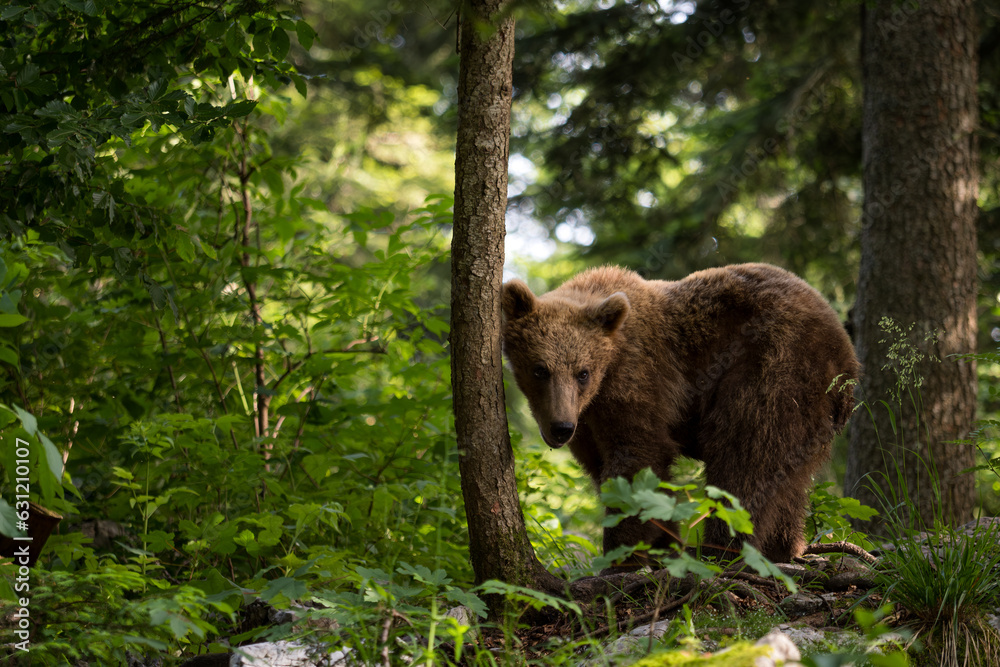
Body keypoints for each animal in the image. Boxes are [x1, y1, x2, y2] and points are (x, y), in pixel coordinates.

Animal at [501, 263, 858, 566]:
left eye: (582, 373)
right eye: (540, 369)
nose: (560, 428)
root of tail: (846, 354)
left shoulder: (639, 380)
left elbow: (638, 459)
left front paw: (622, 556)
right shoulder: (588, 420)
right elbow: (609, 471)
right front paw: (662, 545)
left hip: (774, 367)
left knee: (745, 460)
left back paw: (722, 551)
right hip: (811, 413)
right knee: (790, 481)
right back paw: (783, 548)